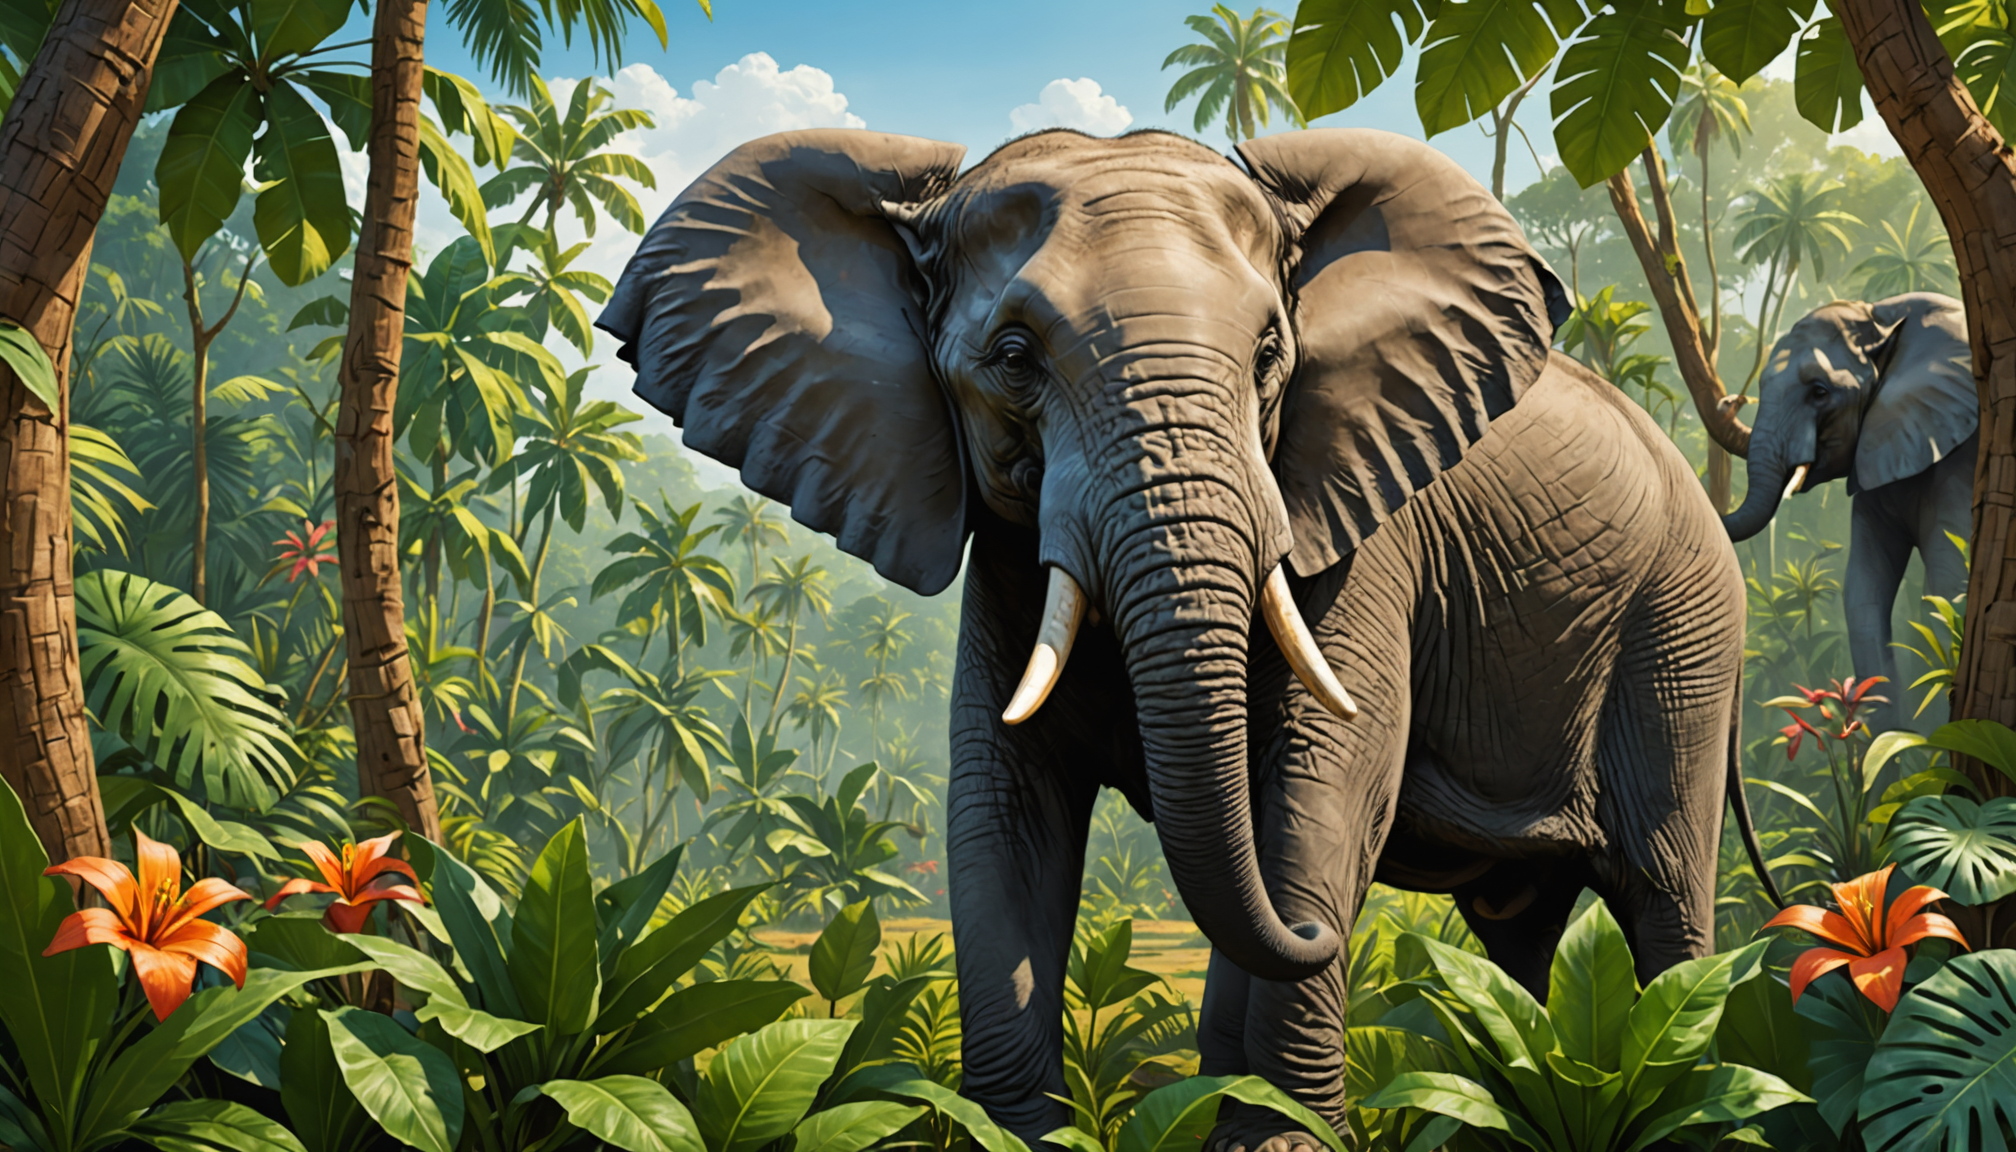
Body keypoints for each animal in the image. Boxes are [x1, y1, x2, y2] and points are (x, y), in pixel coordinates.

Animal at [598, 126, 1773, 1150]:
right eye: (1013, 356)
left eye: (1269, 354)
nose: (1326, 933)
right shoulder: (1008, 558)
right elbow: (1004, 808)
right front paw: (1024, 1138)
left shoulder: (1360, 529)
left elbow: (1323, 783)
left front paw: (1279, 1140)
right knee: (1514, 927)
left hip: (1682, 630)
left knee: (1662, 888)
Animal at [1721, 293, 1977, 725]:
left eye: (1819, 392)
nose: (1732, 401)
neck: (1883, 316)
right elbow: (1862, 590)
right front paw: (1893, 741)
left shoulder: (1958, 462)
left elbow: (1948, 584)